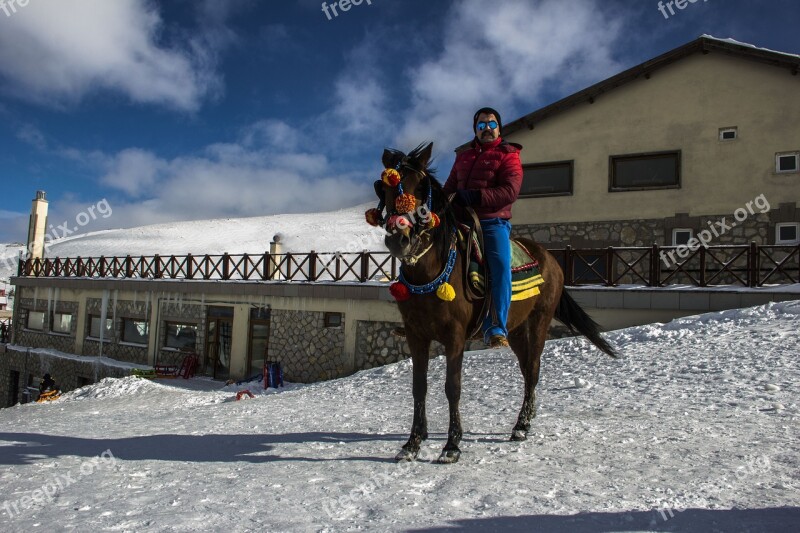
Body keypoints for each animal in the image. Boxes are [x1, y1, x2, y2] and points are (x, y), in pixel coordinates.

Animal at [376, 141, 620, 462]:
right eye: (384, 188)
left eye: (421, 187)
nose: (400, 240)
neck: (430, 272)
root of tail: (551, 259)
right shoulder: (417, 335)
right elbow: (419, 388)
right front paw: (412, 443)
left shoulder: (455, 337)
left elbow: (452, 387)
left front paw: (452, 445)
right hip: (515, 331)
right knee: (526, 369)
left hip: (539, 323)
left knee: (533, 370)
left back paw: (521, 426)